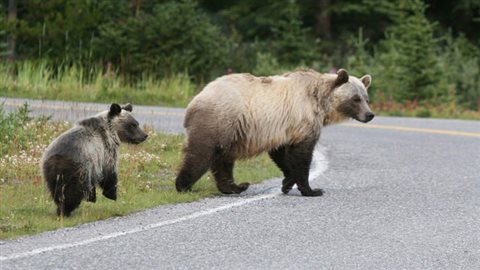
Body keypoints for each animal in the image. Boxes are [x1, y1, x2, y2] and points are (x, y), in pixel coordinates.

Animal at [176, 68, 376, 196]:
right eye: (355, 98)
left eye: (366, 98)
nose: (369, 114)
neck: (320, 101)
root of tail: (195, 99)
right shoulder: (302, 120)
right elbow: (301, 155)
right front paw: (312, 190)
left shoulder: (282, 128)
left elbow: (282, 154)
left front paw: (287, 182)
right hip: (220, 120)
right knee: (201, 154)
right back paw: (184, 186)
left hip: (230, 131)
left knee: (223, 160)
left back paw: (235, 187)